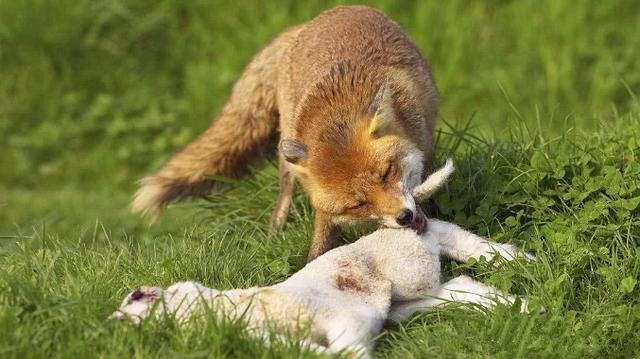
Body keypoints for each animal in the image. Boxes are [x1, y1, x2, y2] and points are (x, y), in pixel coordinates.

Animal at [132, 5, 438, 262]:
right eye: (358, 204)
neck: (339, 108)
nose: (404, 217)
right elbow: (318, 246)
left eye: (386, 174)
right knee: (281, 205)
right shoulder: (324, 208)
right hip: (287, 156)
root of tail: (313, 20)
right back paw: (272, 239)